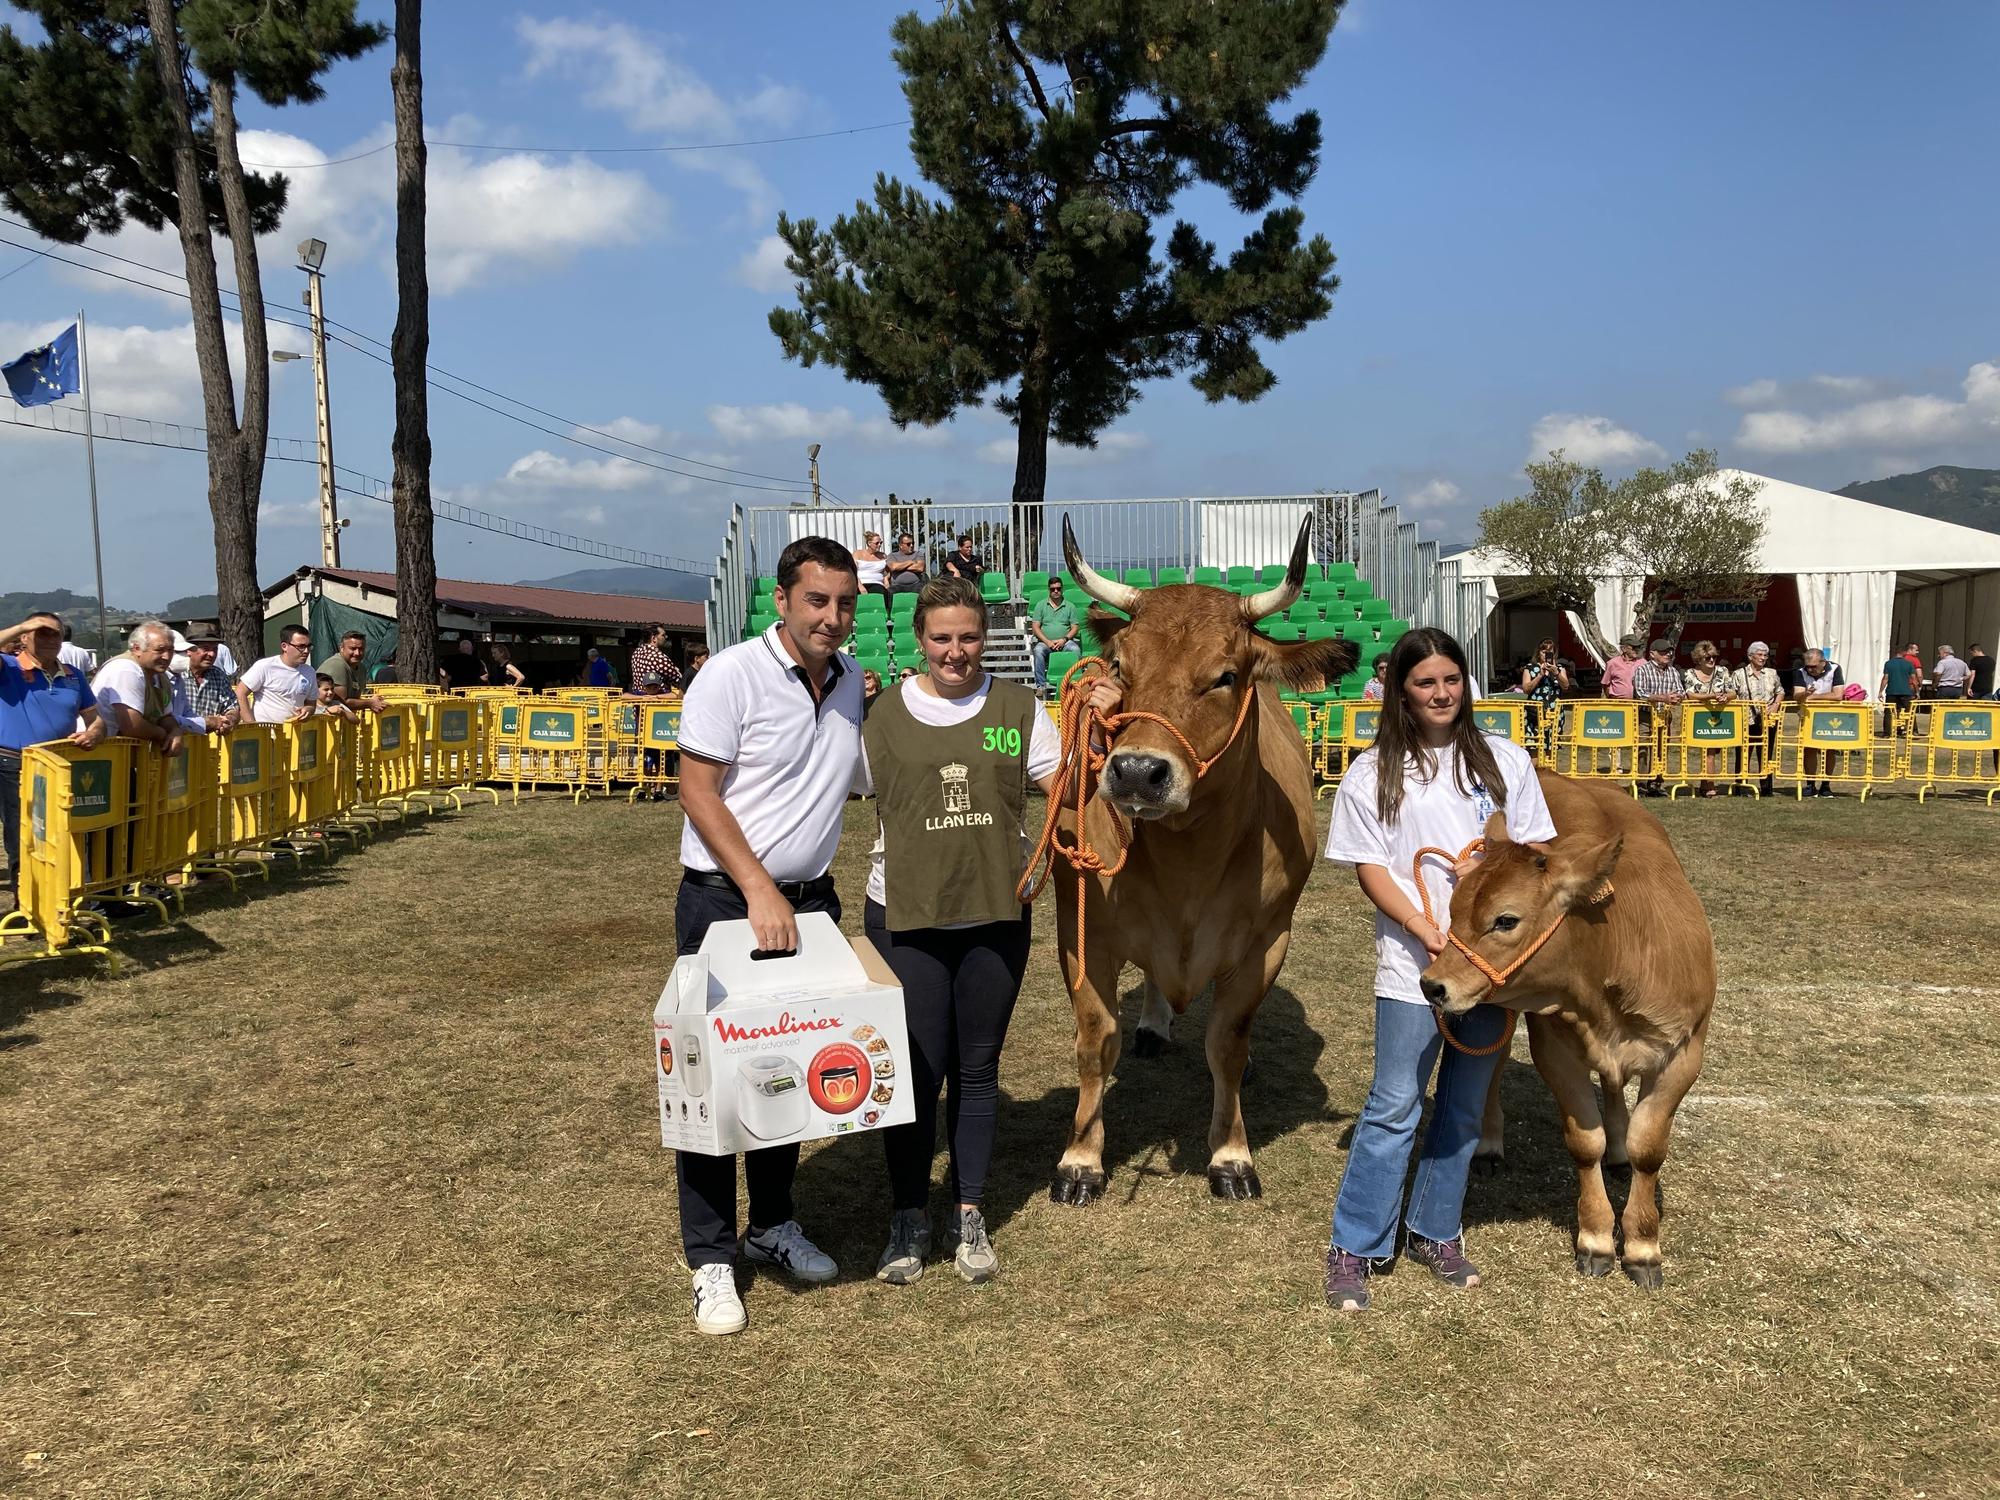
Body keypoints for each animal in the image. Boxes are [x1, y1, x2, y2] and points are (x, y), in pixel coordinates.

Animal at [1048, 524, 1360, 1208]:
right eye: (1121, 667)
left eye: (1225, 676)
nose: (1137, 771)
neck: (1186, 863)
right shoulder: (1083, 937)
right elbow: (1094, 1042)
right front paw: (1080, 1159)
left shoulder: (1267, 943)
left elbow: (1228, 1044)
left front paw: (1231, 1154)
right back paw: (1152, 1025)